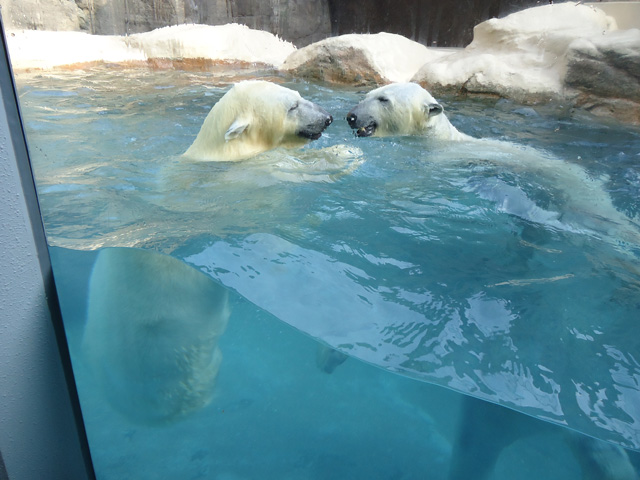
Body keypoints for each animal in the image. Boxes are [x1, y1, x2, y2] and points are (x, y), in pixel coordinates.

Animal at [348, 81, 640, 251]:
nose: (351, 116)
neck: (438, 140)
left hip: (579, 196)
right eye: (368, 94)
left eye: (384, 99)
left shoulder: (438, 164)